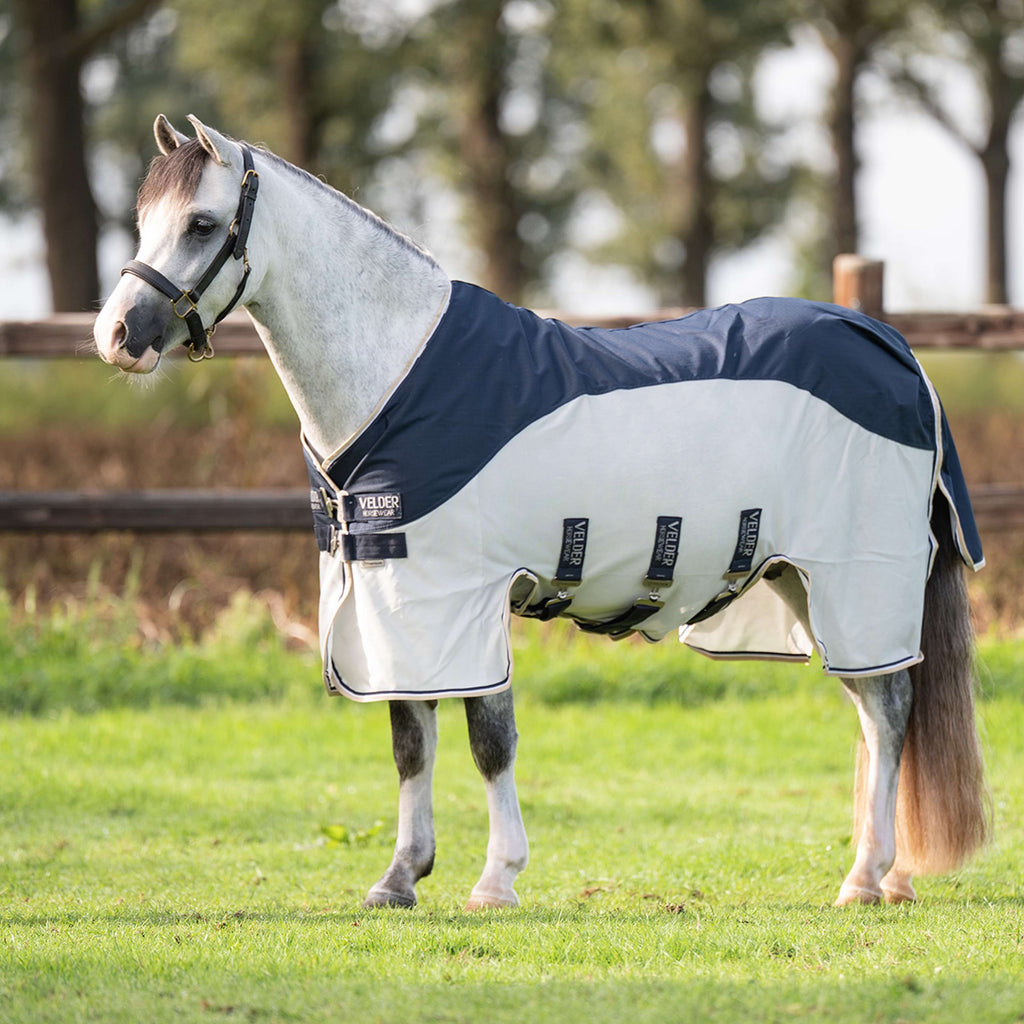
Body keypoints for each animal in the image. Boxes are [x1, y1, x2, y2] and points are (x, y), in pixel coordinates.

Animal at [94, 115, 989, 909]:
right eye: (142, 219)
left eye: (202, 223)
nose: (116, 336)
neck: (402, 376)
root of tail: (888, 345)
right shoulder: (399, 595)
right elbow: (410, 742)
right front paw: (399, 879)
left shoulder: (468, 593)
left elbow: (489, 740)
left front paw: (495, 881)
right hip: (803, 581)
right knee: (874, 716)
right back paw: (888, 877)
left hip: (857, 578)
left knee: (891, 713)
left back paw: (864, 880)